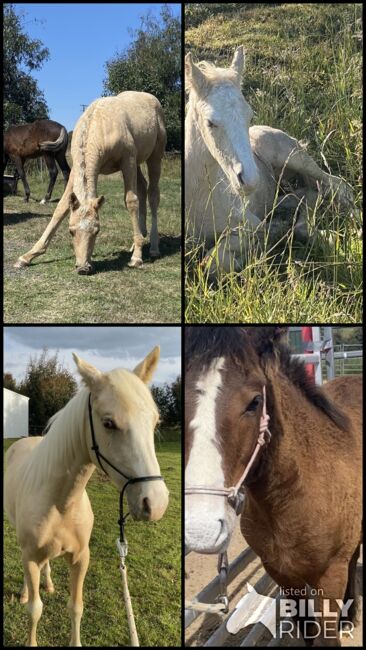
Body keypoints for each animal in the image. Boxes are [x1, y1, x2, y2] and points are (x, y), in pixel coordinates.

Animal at [3, 344, 169, 644]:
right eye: (108, 423)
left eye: (154, 421)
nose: (155, 503)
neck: (60, 502)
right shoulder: (30, 556)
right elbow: (35, 610)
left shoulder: (81, 558)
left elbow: (76, 607)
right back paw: (24, 591)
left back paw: (48, 584)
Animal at [15, 91, 167, 274]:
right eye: (71, 231)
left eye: (97, 231)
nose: (83, 268)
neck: (98, 127)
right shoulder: (76, 170)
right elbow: (61, 207)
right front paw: (27, 256)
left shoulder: (128, 160)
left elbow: (131, 201)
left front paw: (136, 257)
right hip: (138, 162)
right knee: (143, 187)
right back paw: (139, 240)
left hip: (155, 155)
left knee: (153, 194)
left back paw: (153, 247)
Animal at [186, 46, 354, 274]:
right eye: (210, 122)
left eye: (249, 115)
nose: (249, 181)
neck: (198, 196)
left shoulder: (250, 225)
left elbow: (212, 262)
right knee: (305, 195)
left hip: (296, 159)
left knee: (338, 185)